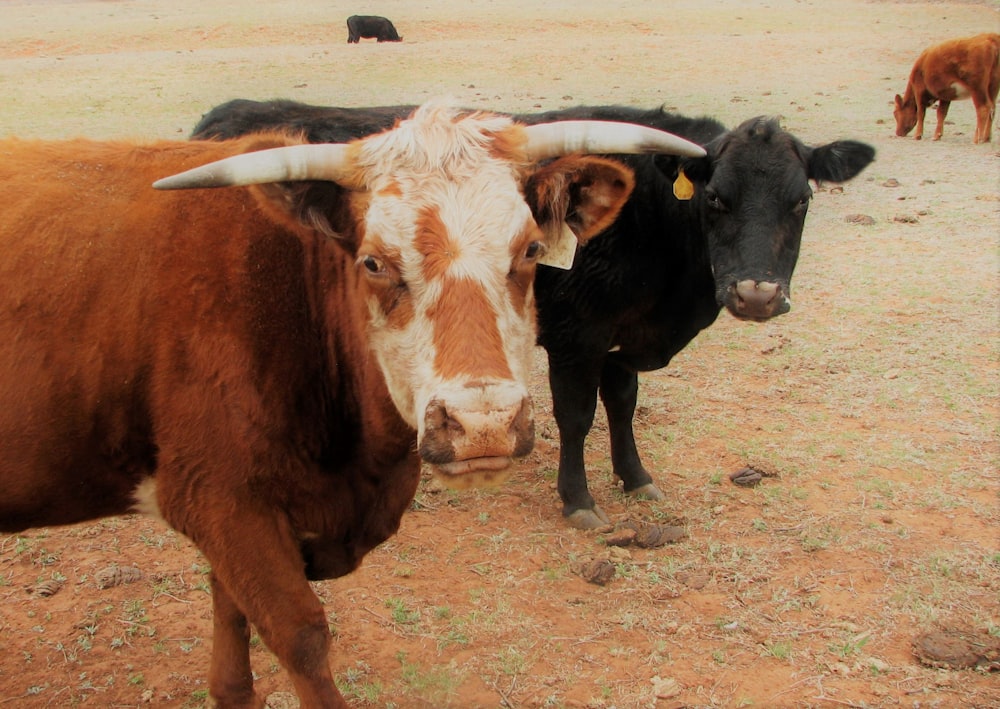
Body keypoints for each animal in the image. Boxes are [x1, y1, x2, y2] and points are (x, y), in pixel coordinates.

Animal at [0, 101, 708, 708]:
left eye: (531, 250)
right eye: (372, 262)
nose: (482, 424)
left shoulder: (234, 512)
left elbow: (231, 609)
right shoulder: (220, 501)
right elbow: (300, 636)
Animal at [189, 102, 876, 528]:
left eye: (801, 201)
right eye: (714, 198)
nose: (757, 295)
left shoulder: (620, 342)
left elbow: (621, 407)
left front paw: (635, 477)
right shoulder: (577, 340)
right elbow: (576, 418)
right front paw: (579, 500)